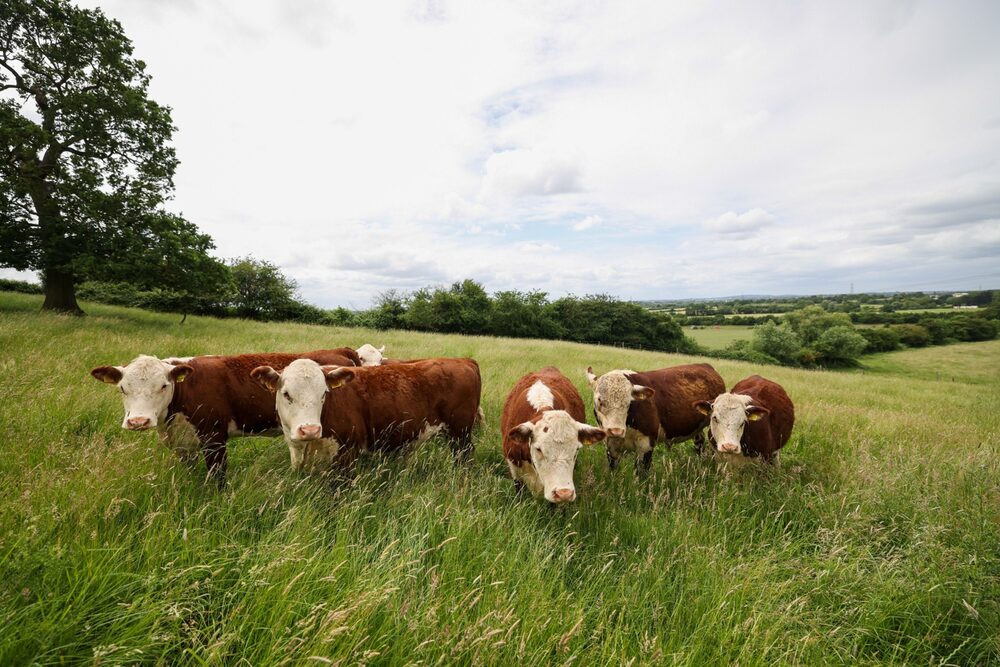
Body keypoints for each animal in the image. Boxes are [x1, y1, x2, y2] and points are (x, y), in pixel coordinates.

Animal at [89, 348, 360, 486]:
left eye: (163, 386)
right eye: (122, 388)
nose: (139, 421)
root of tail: (339, 350)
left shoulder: (214, 438)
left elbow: (217, 476)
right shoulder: (183, 442)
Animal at [249, 357, 482, 474]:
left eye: (323, 393)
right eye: (286, 394)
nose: (310, 430)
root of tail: (463, 360)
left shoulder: (347, 453)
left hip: (460, 433)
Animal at [585, 363, 725, 471]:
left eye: (629, 402)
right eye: (600, 401)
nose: (616, 431)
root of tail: (705, 365)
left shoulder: (646, 444)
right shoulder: (611, 445)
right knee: (699, 443)